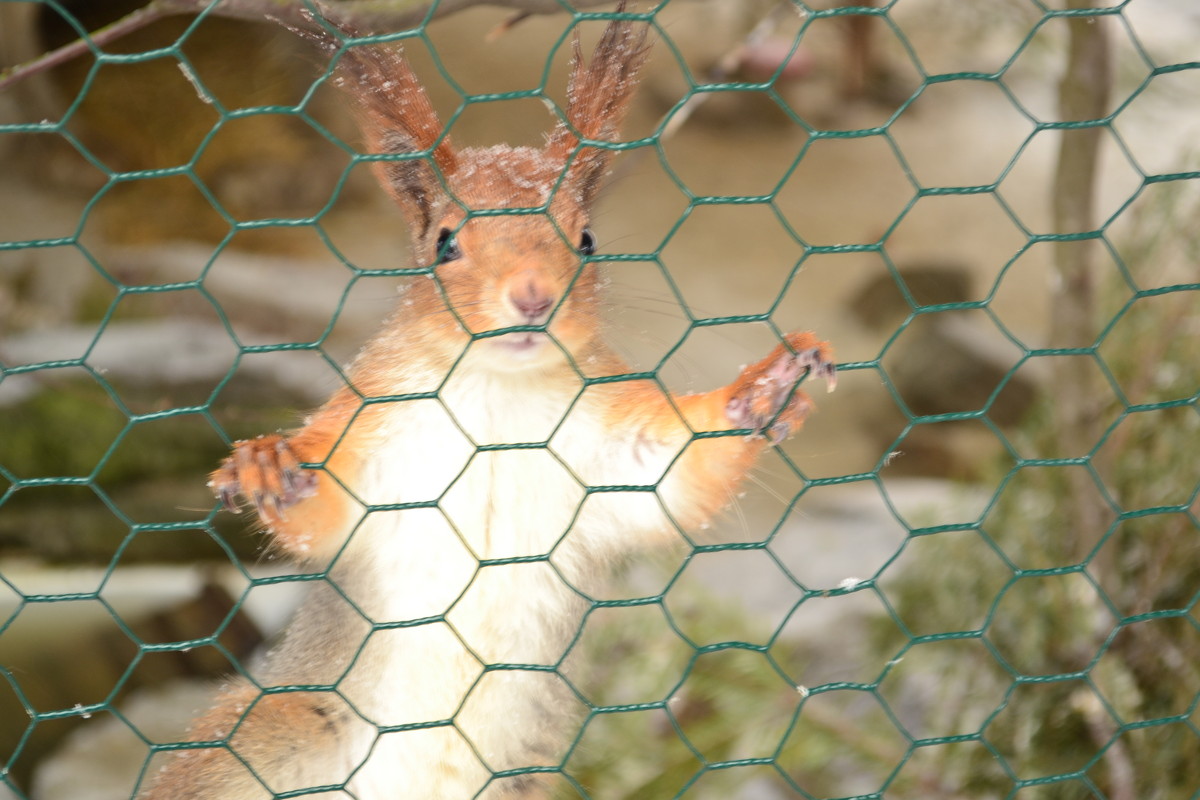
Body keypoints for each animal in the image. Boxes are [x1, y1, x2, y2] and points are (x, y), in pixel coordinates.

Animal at [140, 7, 835, 800]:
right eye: (445, 242)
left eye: (586, 238)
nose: (532, 296)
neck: (500, 398)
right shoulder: (373, 432)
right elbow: (326, 515)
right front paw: (270, 468)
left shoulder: (607, 449)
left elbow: (672, 475)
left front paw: (766, 389)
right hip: (255, 745)